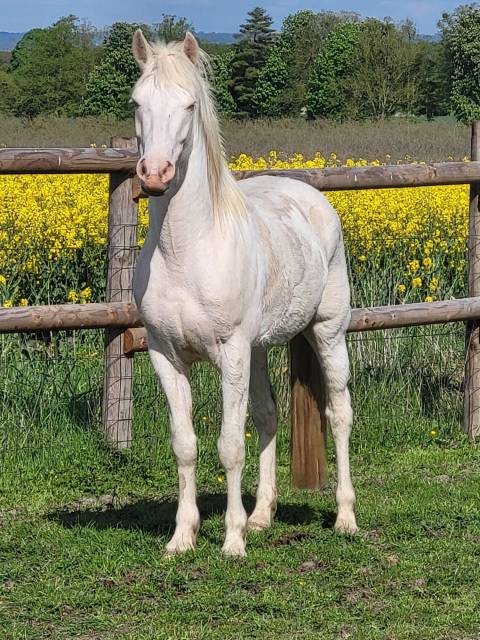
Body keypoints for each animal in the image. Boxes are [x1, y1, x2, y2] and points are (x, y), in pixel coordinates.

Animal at [131, 30, 357, 557]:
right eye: (136, 102)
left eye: (189, 105)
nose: (155, 174)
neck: (185, 250)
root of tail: (315, 200)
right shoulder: (165, 355)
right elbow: (186, 445)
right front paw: (183, 537)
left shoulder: (230, 352)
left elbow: (230, 445)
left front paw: (231, 541)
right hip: (258, 349)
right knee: (269, 414)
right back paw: (262, 515)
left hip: (327, 332)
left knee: (339, 414)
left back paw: (344, 517)